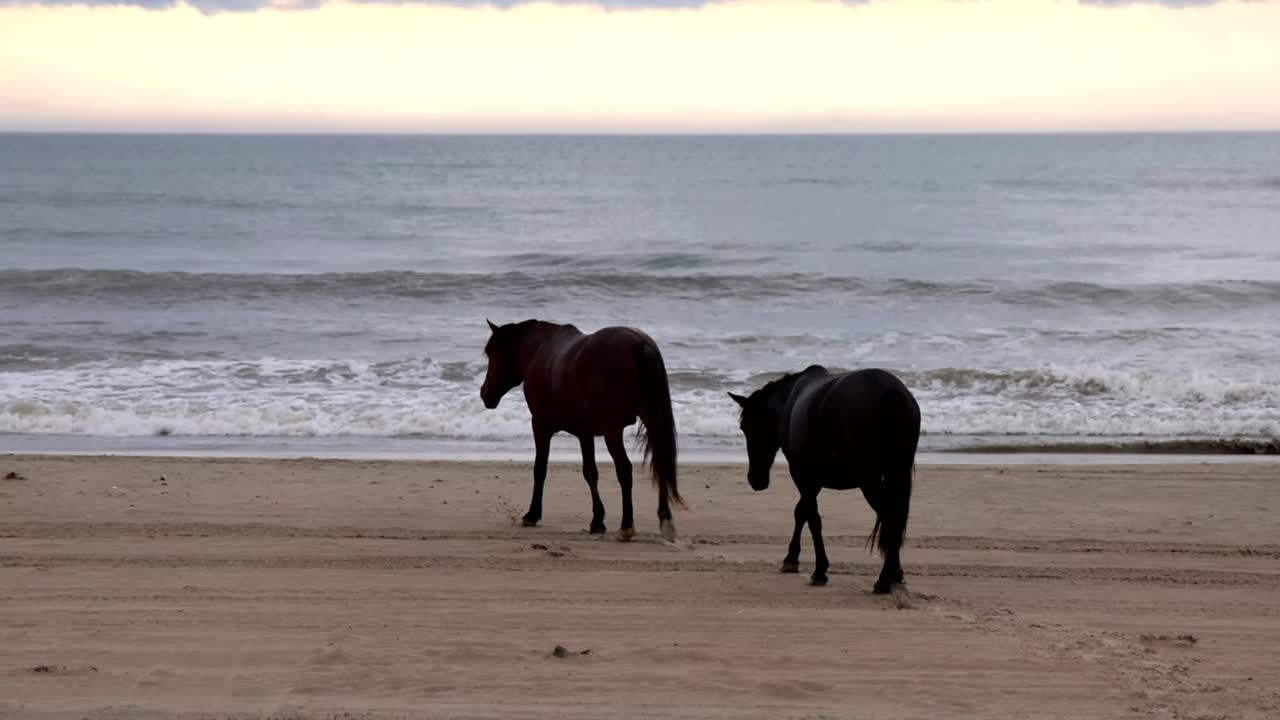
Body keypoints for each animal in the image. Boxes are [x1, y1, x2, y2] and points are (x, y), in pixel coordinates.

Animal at [480, 319, 682, 542]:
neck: (539, 351)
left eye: (492, 354)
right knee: (661, 463)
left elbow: (540, 469)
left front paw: (532, 514)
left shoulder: (540, 425)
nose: (484, 393)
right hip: (652, 421)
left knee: (624, 470)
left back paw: (626, 526)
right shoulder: (585, 433)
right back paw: (665, 519)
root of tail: (640, 343)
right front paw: (597, 521)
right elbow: (590, 473)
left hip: (613, 431)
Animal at [729, 366, 920, 594]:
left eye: (747, 427)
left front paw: (819, 570)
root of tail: (892, 393)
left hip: (869, 481)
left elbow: (812, 518)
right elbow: (801, 512)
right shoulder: (814, 480)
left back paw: (883, 579)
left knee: (890, 518)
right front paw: (791, 559)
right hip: (896, 472)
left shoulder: (802, 475)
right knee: (895, 519)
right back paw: (893, 574)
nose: (755, 479)